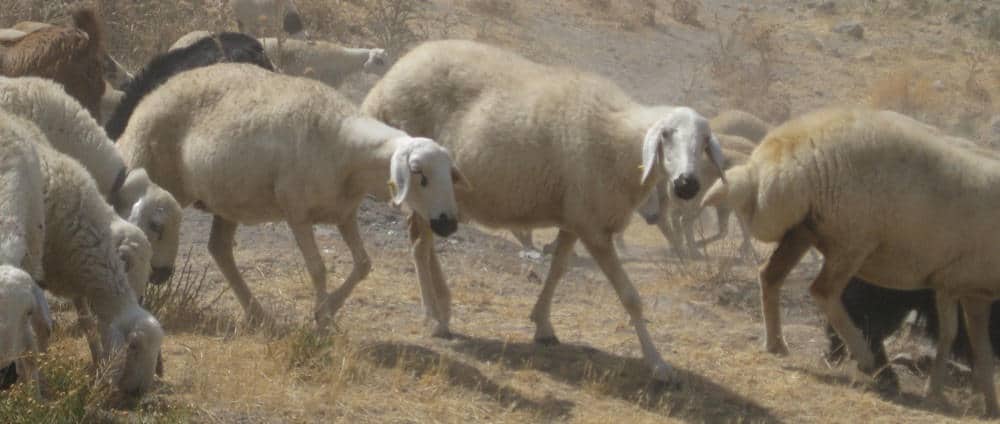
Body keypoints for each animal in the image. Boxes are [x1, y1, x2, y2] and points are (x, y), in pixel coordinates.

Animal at [114, 62, 464, 328]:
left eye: (450, 175)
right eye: (419, 174)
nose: (448, 224)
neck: (347, 148)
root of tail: (150, 96)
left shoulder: (343, 213)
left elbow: (363, 264)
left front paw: (328, 310)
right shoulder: (297, 212)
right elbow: (318, 268)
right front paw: (324, 319)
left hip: (228, 199)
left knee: (220, 250)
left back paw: (257, 314)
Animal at [364, 39, 724, 382]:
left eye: (705, 141)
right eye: (666, 135)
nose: (687, 184)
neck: (620, 143)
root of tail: (386, 82)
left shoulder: (574, 219)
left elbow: (558, 269)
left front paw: (543, 325)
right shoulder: (594, 227)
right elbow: (629, 296)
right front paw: (658, 363)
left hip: (437, 198)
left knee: (425, 242)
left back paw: (445, 307)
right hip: (422, 182)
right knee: (419, 245)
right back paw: (434, 318)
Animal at [700, 107, 1000, 418]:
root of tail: (761, 169)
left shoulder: (965, 289)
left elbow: (972, 343)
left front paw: (978, 400)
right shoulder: (957, 285)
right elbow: (960, 338)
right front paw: (946, 394)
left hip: (804, 230)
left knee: (770, 275)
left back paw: (776, 343)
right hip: (851, 240)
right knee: (824, 291)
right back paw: (866, 359)